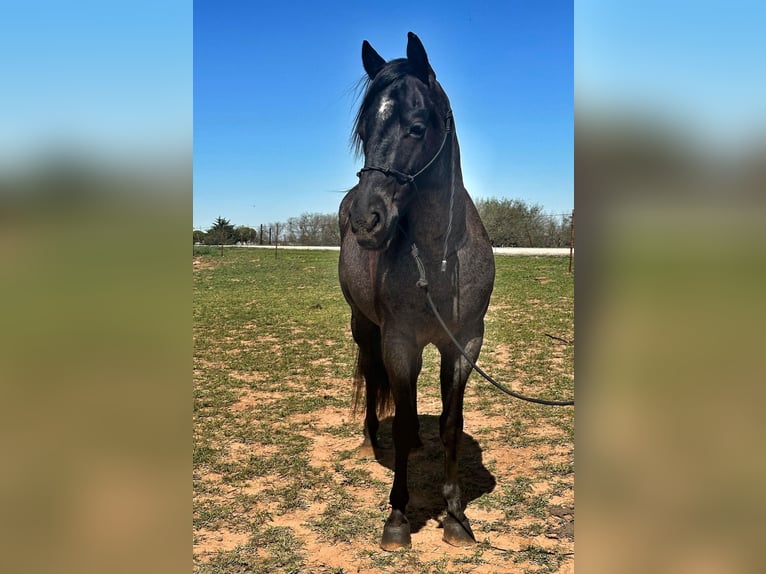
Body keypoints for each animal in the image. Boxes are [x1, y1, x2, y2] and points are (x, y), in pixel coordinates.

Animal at [338, 32, 496, 552]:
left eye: (417, 126)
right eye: (364, 131)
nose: (366, 220)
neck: (439, 255)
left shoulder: (464, 342)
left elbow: (450, 422)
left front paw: (455, 518)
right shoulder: (398, 340)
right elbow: (404, 420)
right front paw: (398, 518)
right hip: (366, 330)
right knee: (372, 380)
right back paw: (370, 439)